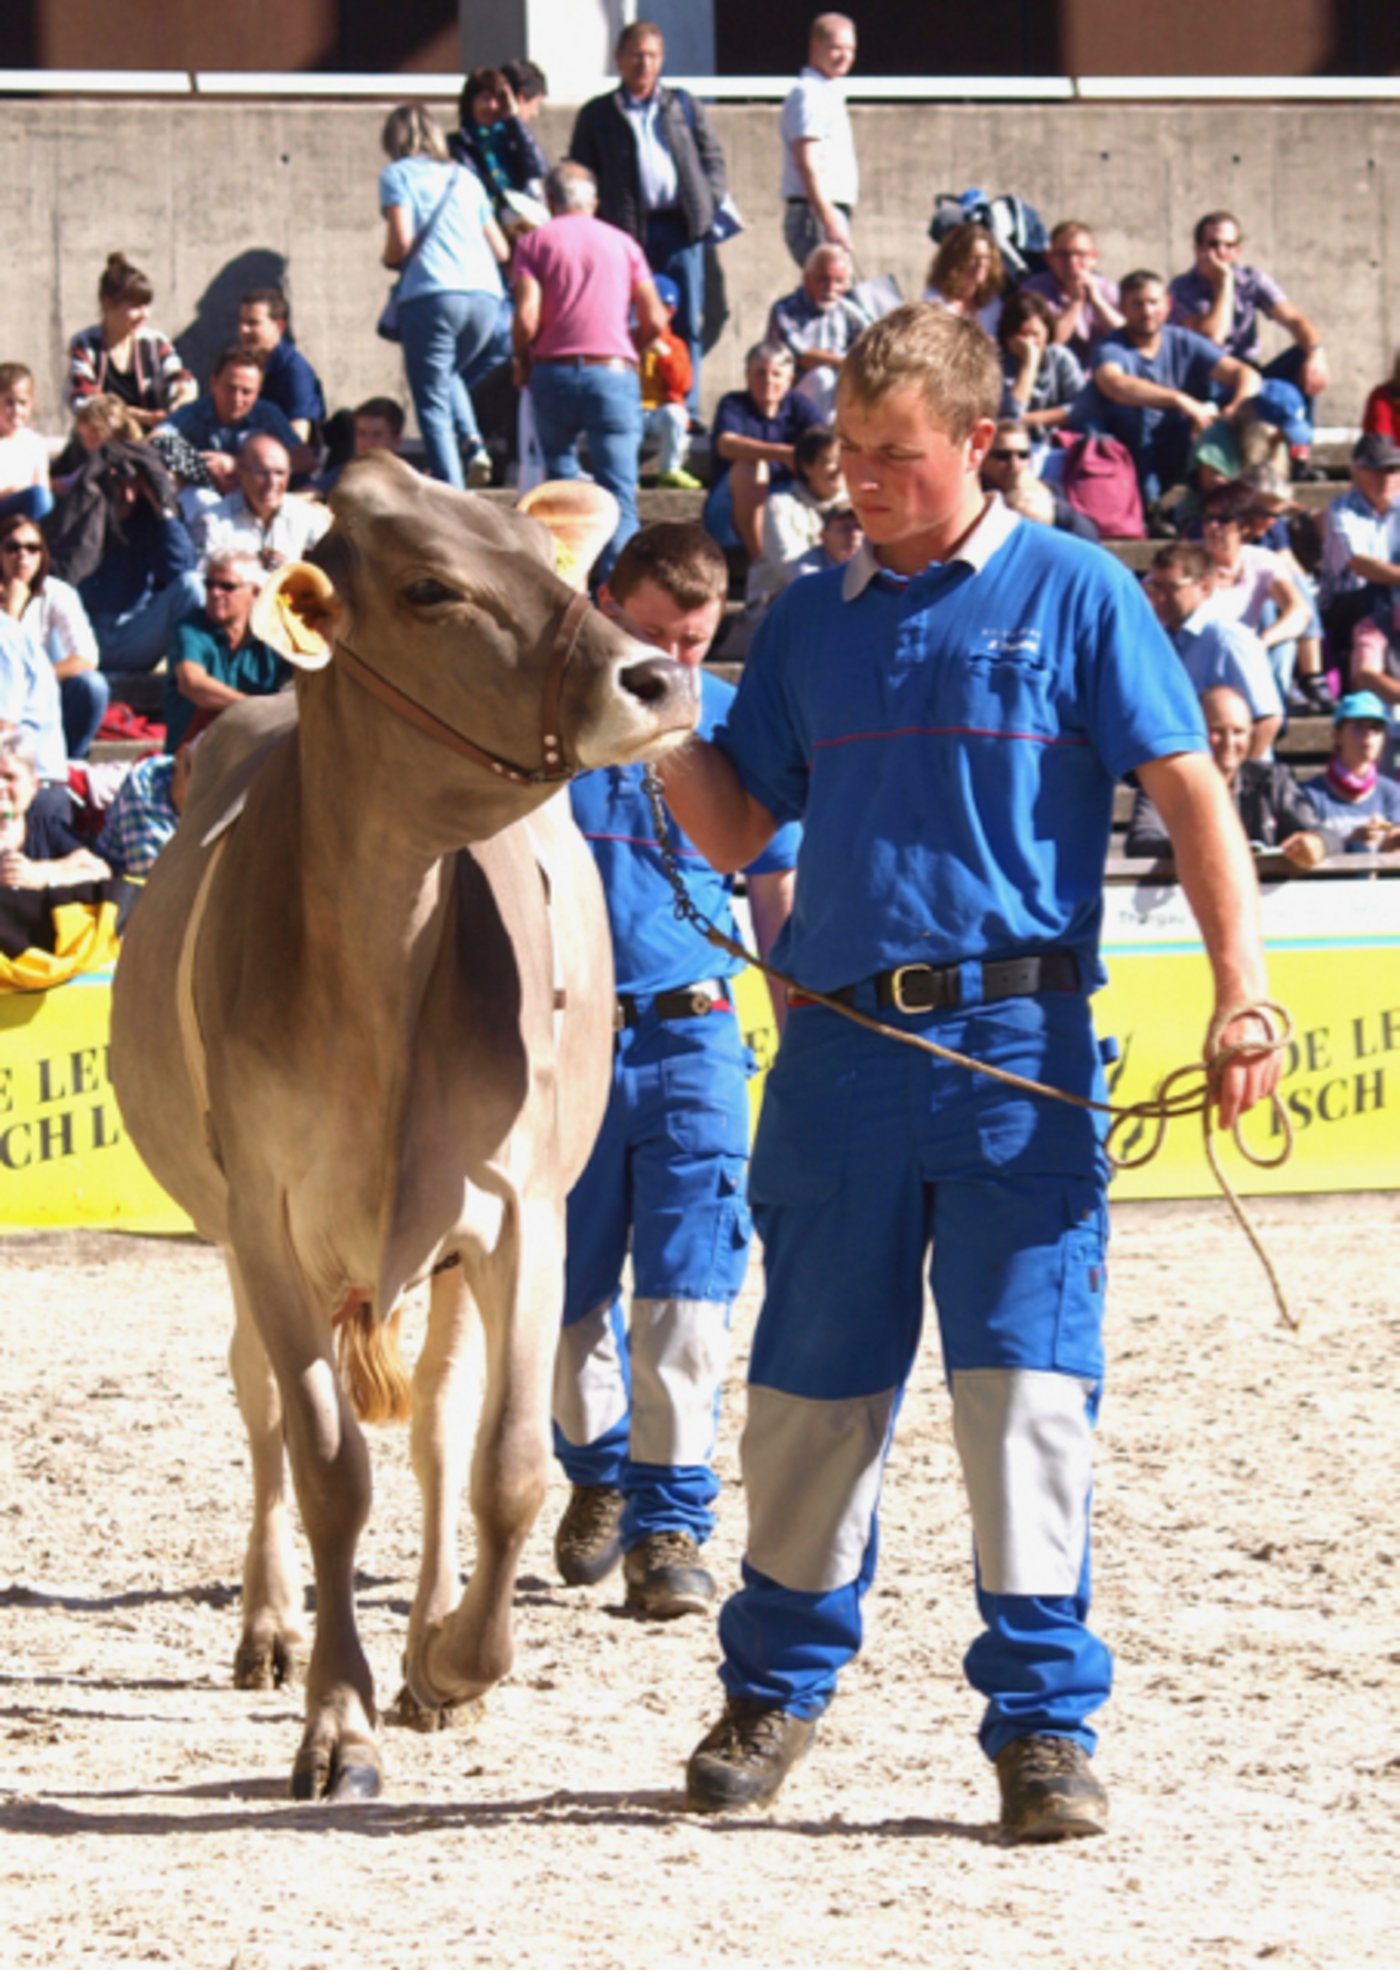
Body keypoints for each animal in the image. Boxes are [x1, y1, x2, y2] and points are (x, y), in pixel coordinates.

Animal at [110, 454, 699, 1800]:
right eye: (432, 588)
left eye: (545, 564)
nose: (656, 675)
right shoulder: (265, 1220)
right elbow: (328, 1464)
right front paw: (338, 1716)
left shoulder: (520, 1209)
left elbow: (505, 1457)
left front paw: (450, 1662)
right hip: (236, 1238)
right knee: (263, 1410)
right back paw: (269, 1625)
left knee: (436, 1419)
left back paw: (432, 1628)